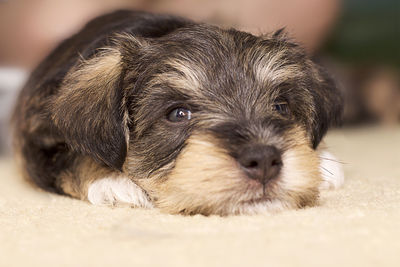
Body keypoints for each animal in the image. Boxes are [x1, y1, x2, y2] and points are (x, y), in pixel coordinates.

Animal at [12, 10, 344, 217]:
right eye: (178, 114)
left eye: (281, 107)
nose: (263, 160)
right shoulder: (37, 146)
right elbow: (73, 157)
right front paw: (114, 181)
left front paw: (324, 160)